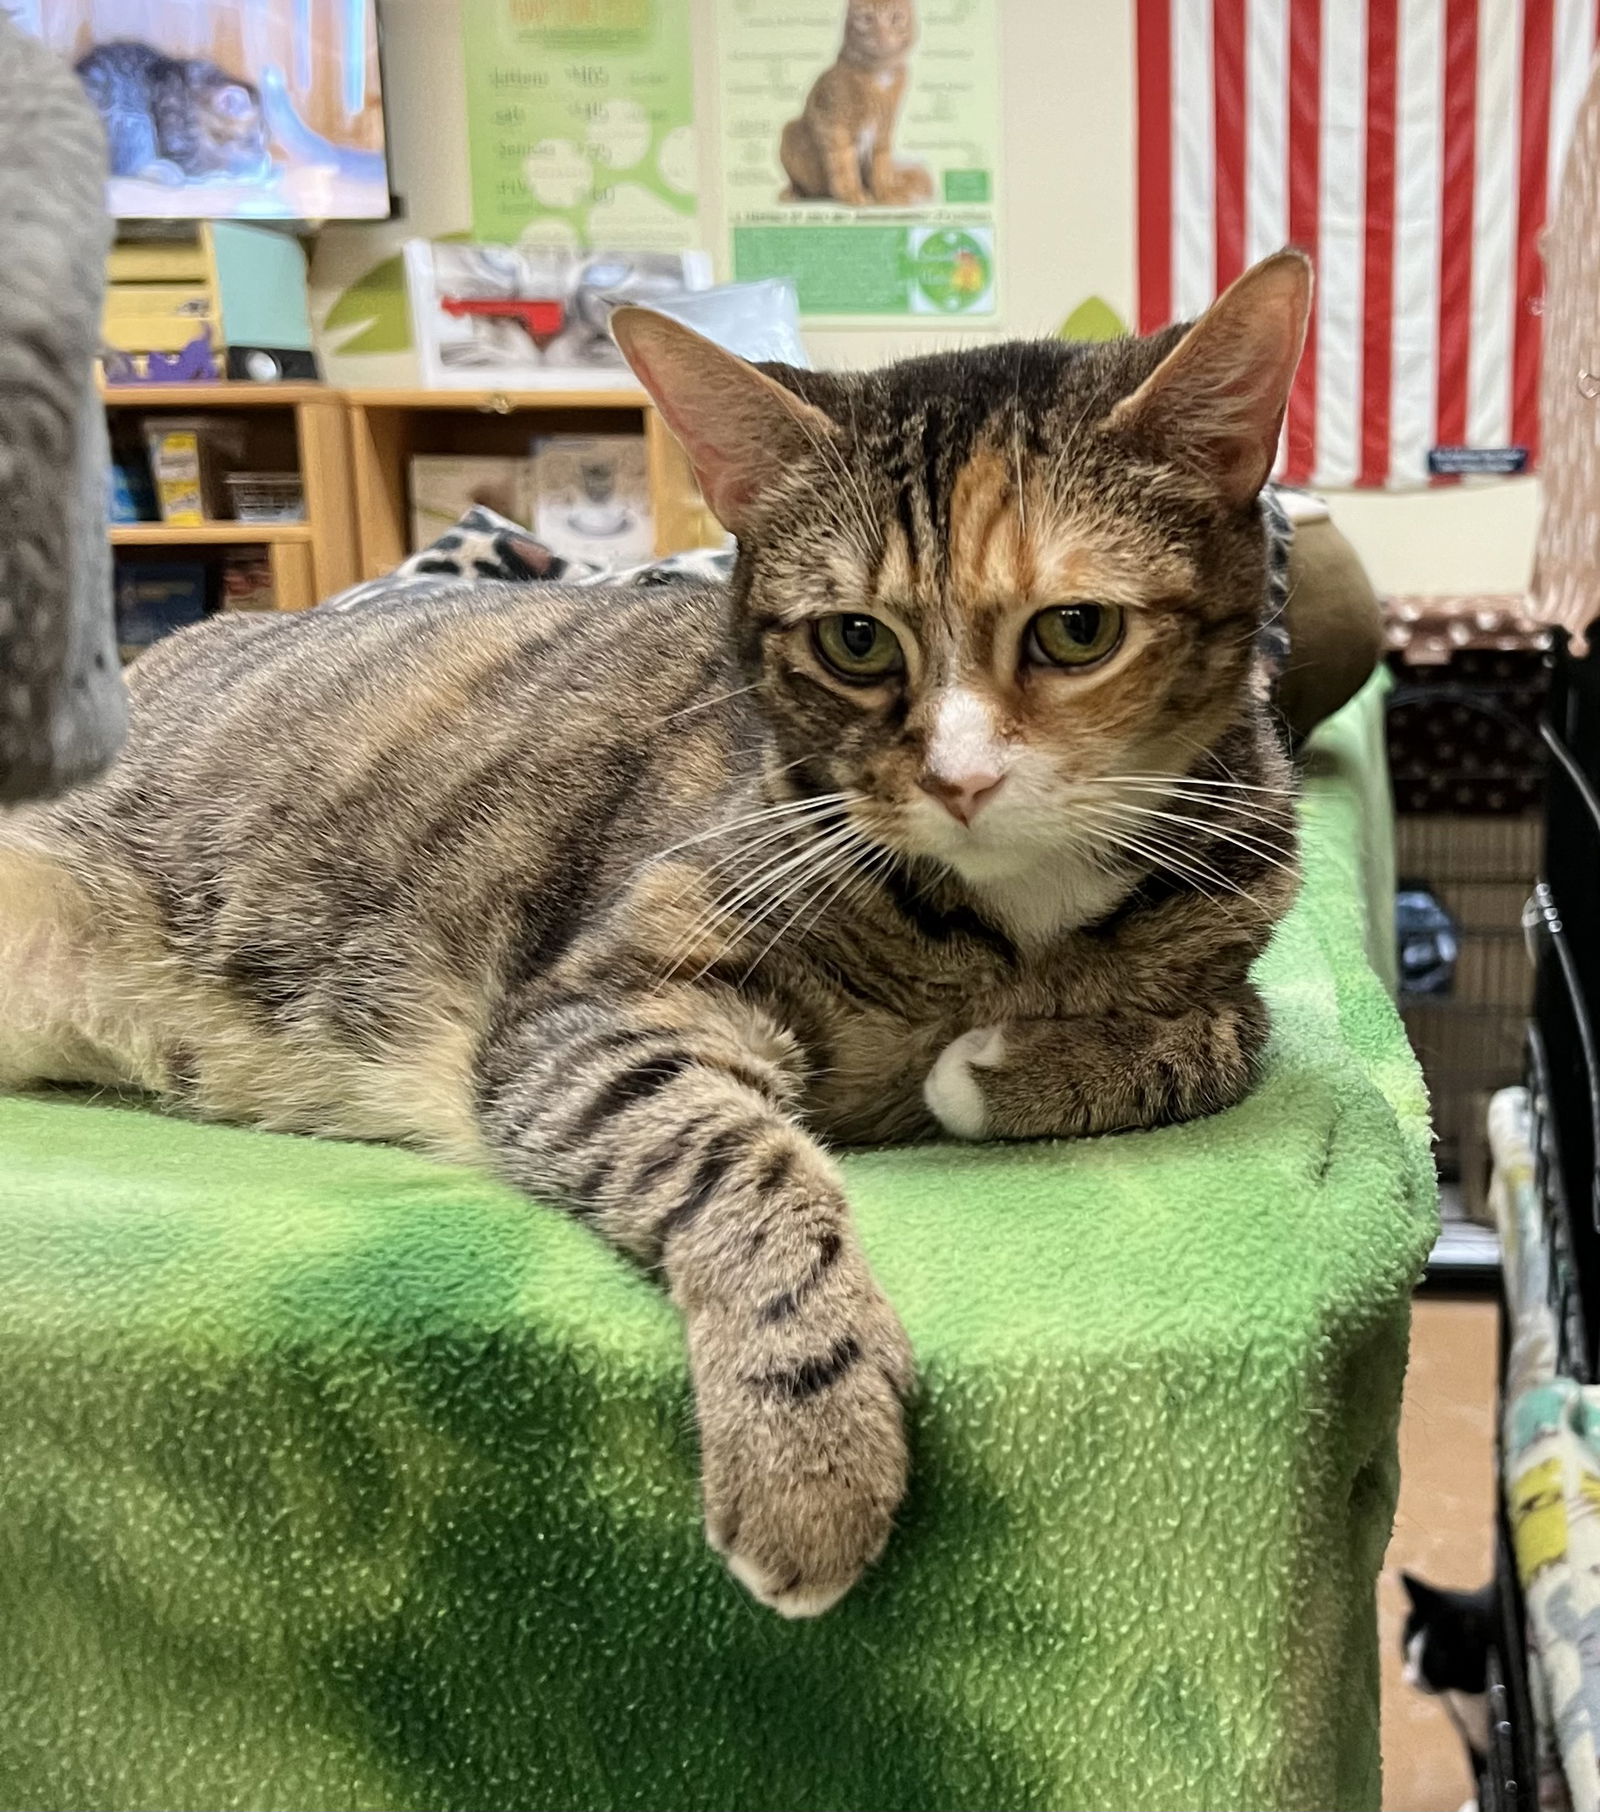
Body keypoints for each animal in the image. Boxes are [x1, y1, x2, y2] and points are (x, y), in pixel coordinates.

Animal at [0, 251, 1311, 1616]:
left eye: (1076, 629)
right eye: (854, 640)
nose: (958, 782)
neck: (1002, 922)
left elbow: (1232, 1030)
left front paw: (996, 1068)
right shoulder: (592, 1007)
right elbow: (727, 1152)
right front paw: (808, 1443)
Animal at [75, 40, 271, 187]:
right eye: (249, 141)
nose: (262, 154)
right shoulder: (176, 136)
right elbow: (207, 166)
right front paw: (251, 169)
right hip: (131, 118)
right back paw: (163, 171)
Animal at [779, 0, 934, 206]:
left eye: (895, 18)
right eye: (868, 19)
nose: (882, 36)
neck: (880, 73)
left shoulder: (884, 127)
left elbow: (881, 165)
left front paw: (886, 193)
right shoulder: (833, 125)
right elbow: (843, 164)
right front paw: (852, 193)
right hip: (790, 129)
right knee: (803, 185)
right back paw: (794, 193)